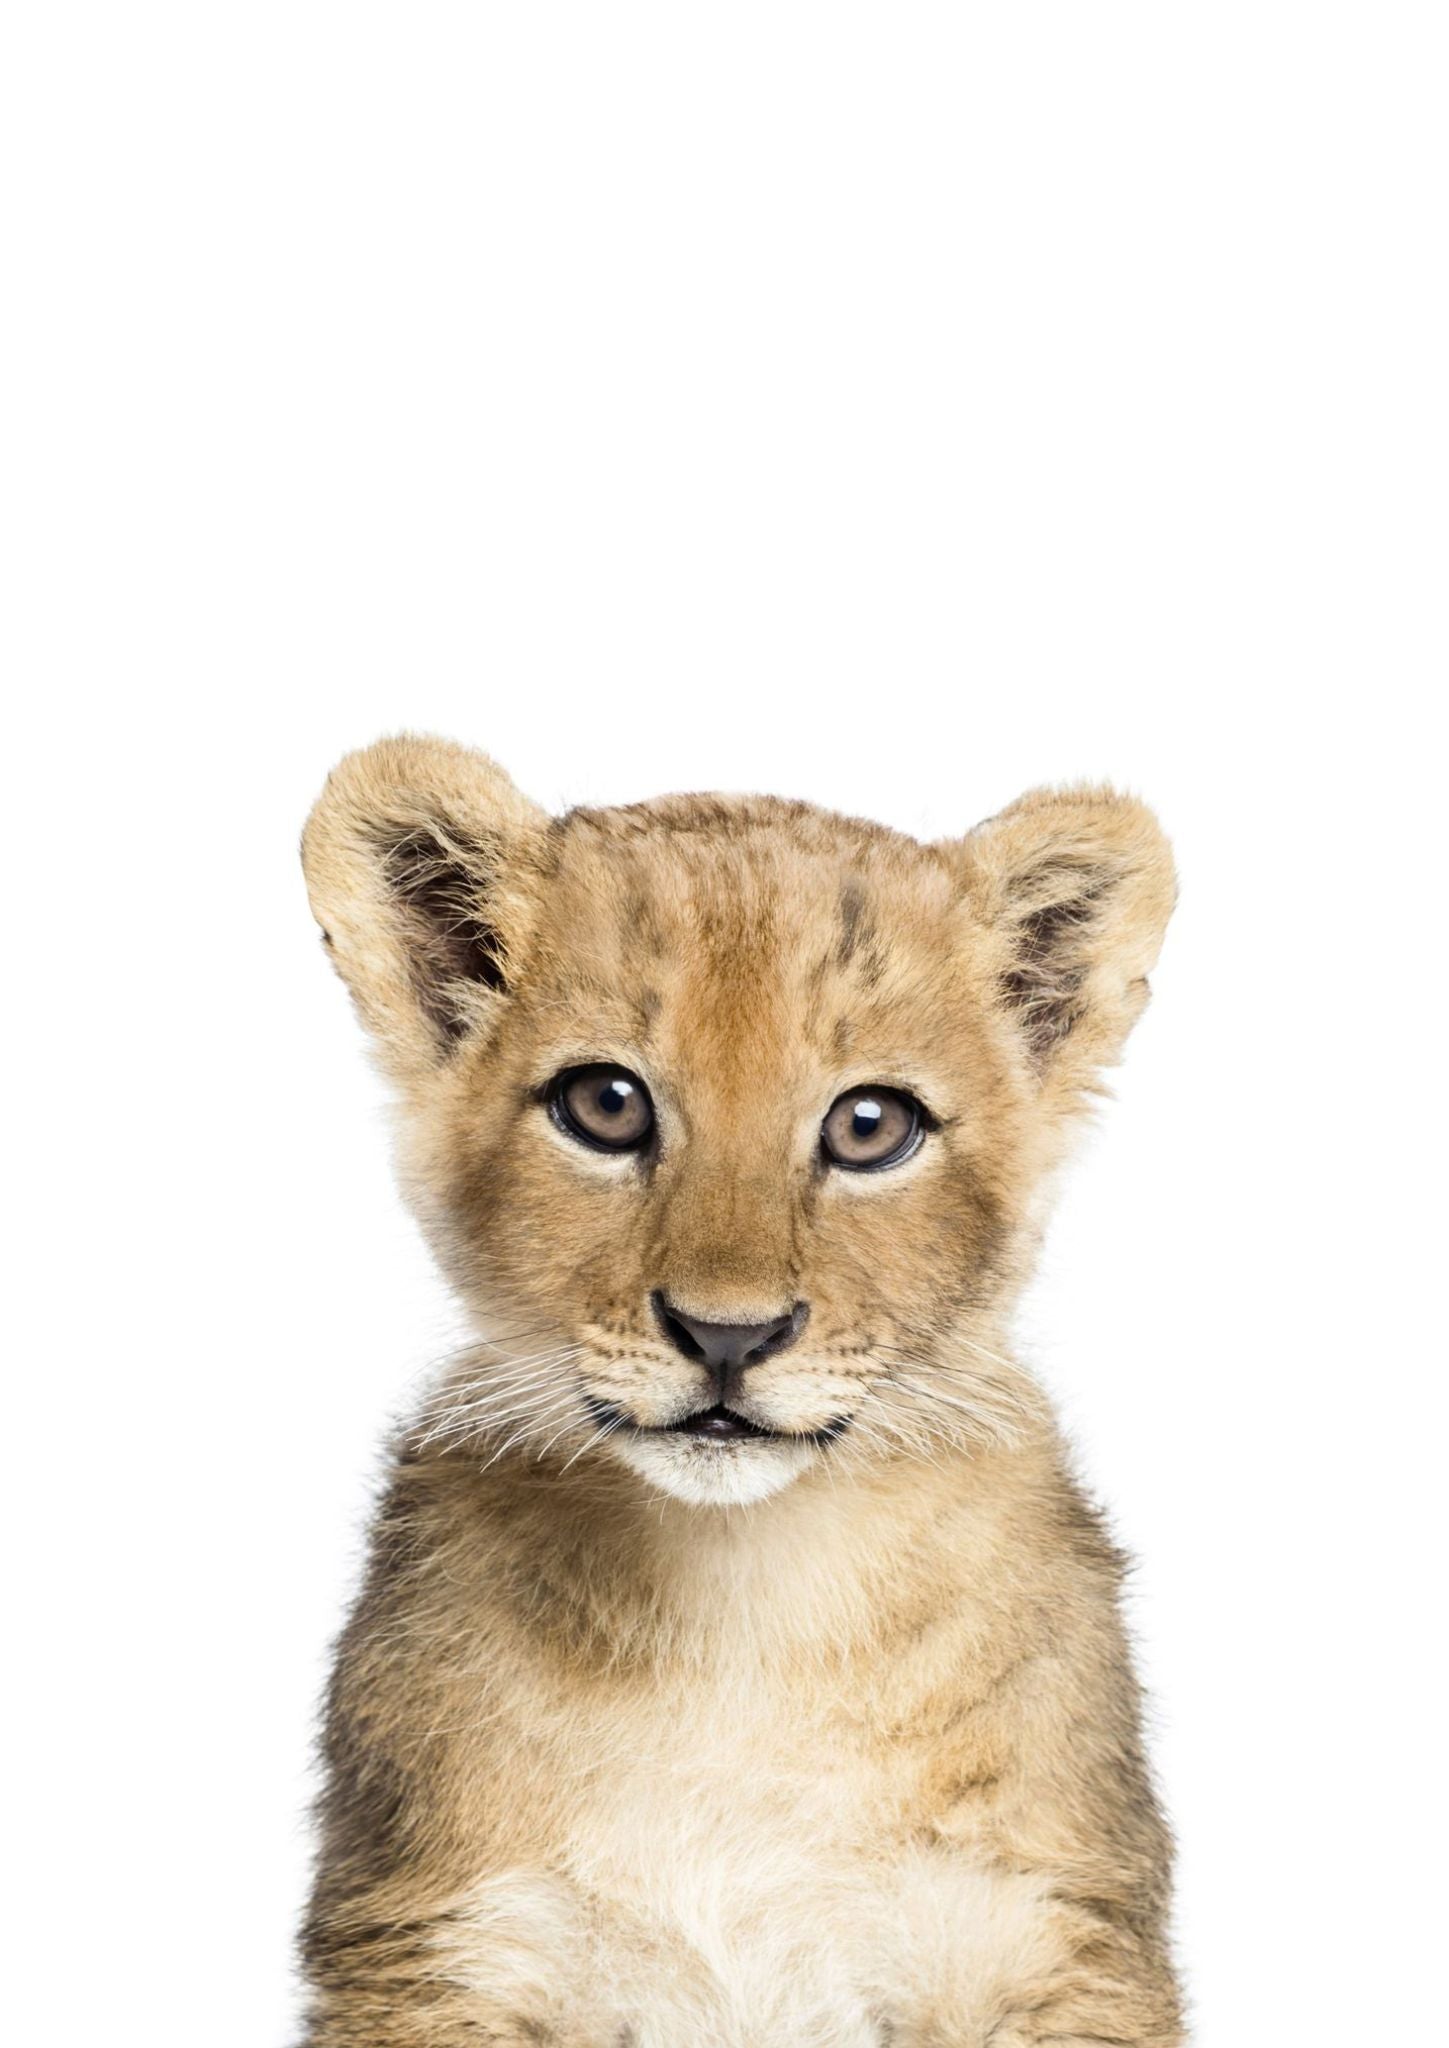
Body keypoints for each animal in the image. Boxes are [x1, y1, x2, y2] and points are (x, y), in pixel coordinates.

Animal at [296, 734, 1183, 2046]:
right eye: (605, 1104)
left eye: (870, 1124)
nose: (728, 1334)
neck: (742, 1607)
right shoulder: (441, 1942)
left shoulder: (1048, 1934)